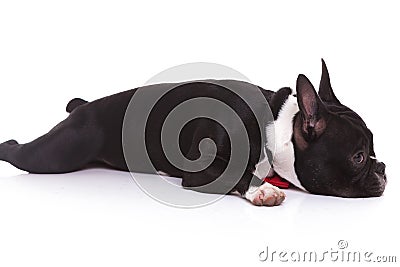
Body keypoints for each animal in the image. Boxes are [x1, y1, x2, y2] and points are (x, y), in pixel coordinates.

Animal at [0, 61, 388, 207]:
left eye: (372, 151)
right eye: (357, 157)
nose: (383, 168)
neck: (274, 127)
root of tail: (86, 106)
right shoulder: (203, 169)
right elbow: (239, 173)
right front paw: (262, 190)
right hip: (60, 151)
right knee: (19, 150)